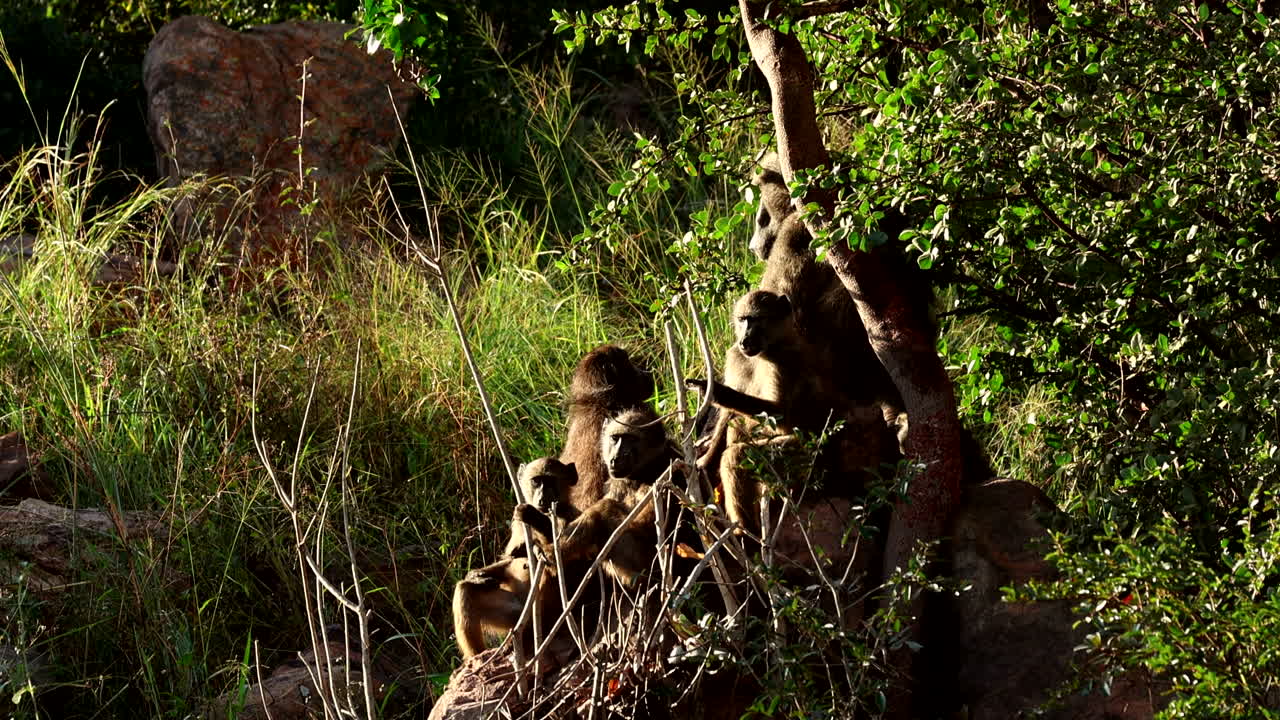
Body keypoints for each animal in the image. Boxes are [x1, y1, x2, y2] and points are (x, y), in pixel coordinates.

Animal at [451, 458, 579, 660]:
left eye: (550, 481)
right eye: (536, 481)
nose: (542, 499)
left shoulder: (570, 517)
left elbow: (564, 566)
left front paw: (533, 518)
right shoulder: (517, 526)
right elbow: (509, 559)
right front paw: (476, 575)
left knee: (546, 577)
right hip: (511, 615)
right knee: (465, 589)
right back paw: (479, 658)